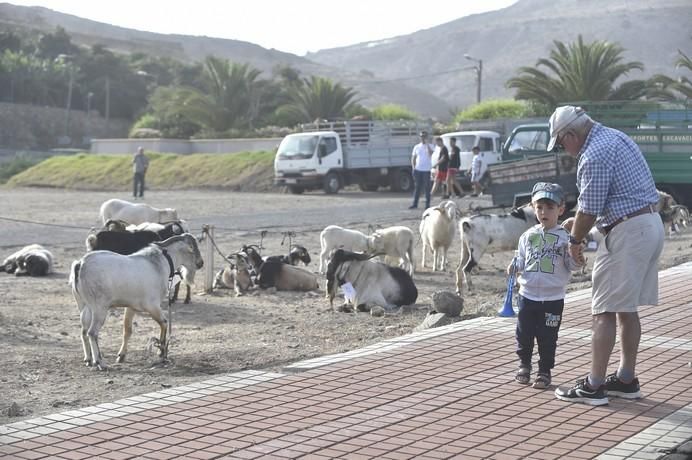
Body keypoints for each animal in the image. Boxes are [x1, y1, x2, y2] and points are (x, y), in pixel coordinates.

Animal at [69, 234, 203, 370]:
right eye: (193, 249)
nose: (201, 263)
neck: (159, 264)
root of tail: (80, 264)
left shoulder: (131, 307)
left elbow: (127, 330)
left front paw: (121, 356)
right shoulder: (152, 305)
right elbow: (164, 323)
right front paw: (161, 353)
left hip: (84, 306)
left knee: (84, 331)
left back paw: (88, 359)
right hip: (99, 308)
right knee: (92, 333)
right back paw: (100, 362)